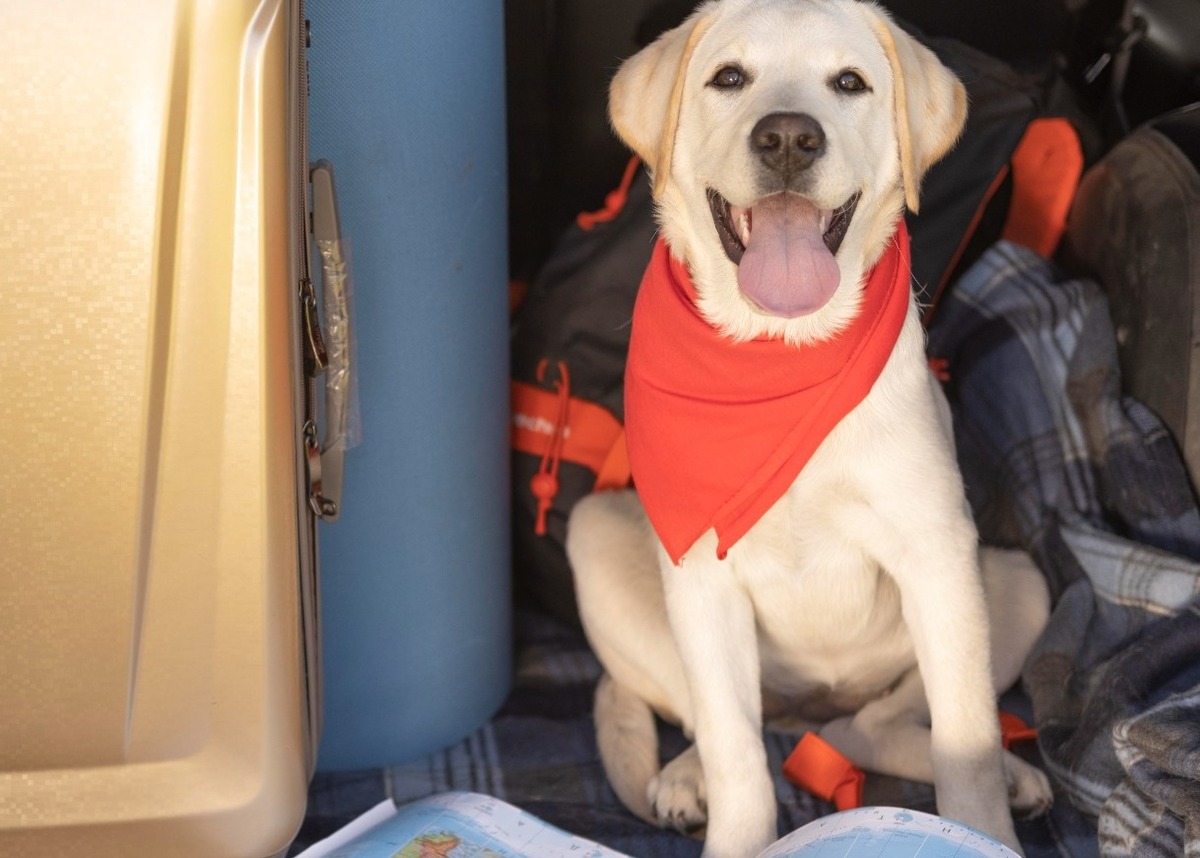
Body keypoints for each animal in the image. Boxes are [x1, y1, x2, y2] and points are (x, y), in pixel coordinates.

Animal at [568, 1, 1051, 858]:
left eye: (849, 83)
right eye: (729, 76)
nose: (789, 137)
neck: (780, 352)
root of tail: (812, 711)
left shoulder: (937, 554)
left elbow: (966, 741)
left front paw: (980, 830)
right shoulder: (701, 573)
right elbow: (735, 752)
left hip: (1016, 585)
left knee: (873, 728)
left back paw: (1012, 776)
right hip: (596, 538)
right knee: (730, 726)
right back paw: (684, 777)